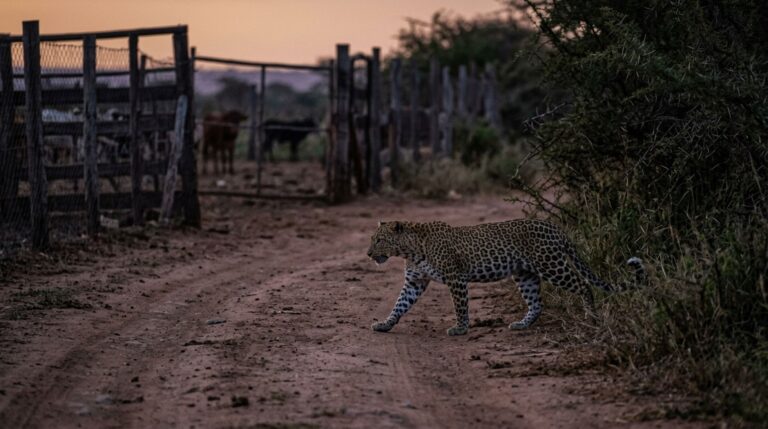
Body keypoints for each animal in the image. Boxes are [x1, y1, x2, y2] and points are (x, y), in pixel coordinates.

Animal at [366, 219, 646, 336]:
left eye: (379, 240)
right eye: (372, 239)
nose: (368, 253)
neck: (410, 249)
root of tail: (555, 227)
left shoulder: (456, 278)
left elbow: (460, 306)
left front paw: (460, 328)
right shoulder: (415, 281)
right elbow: (399, 305)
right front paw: (385, 324)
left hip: (551, 265)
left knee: (584, 284)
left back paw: (592, 319)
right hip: (525, 274)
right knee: (537, 303)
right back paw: (522, 324)